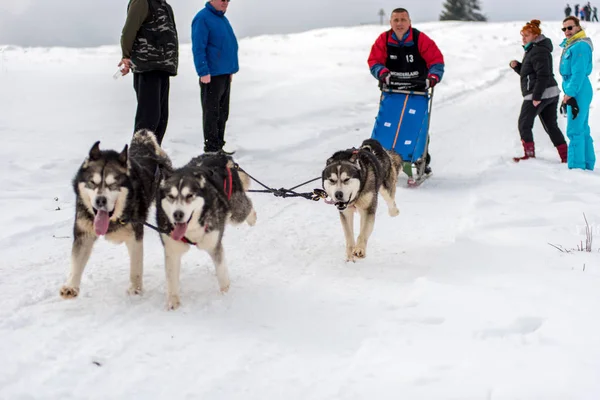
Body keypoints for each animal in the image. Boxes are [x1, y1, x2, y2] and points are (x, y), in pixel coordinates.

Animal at [60, 130, 171, 298]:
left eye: (113, 185)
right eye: (93, 183)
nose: (100, 200)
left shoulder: (135, 235)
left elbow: (136, 266)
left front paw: (135, 288)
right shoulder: (84, 232)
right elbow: (76, 261)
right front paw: (71, 286)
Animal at [156, 152, 256, 310]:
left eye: (189, 195)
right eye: (171, 196)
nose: (177, 214)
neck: (191, 229)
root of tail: (218, 154)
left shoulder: (214, 244)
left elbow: (222, 272)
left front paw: (226, 294)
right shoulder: (172, 248)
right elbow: (171, 279)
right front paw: (173, 302)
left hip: (237, 212)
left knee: (247, 206)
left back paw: (252, 218)